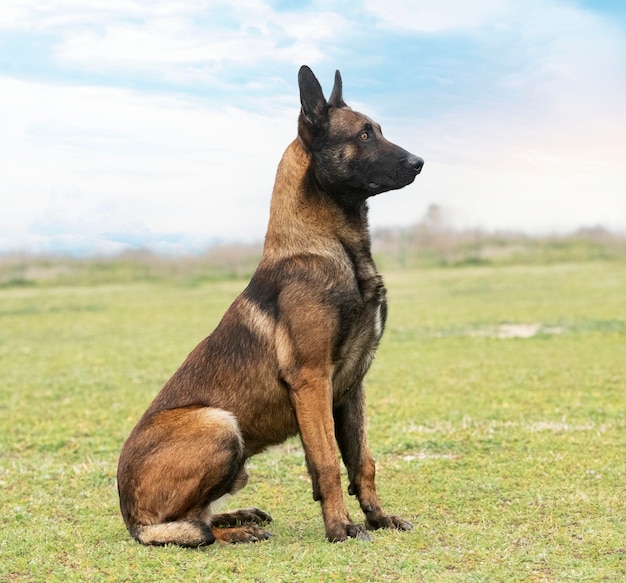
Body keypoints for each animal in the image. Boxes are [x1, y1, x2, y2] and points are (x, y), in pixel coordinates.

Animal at [115, 65, 422, 548]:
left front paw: (378, 518)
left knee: (197, 519)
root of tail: (130, 518)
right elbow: (327, 462)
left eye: (378, 130)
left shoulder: (351, 385)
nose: (419, 162)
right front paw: (340, 528)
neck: (329, 246)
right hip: (220, 424)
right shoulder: (312, 379)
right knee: (189, 530)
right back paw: (236, 532)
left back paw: (239, 517)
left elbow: (362, 461)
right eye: (364, 135)